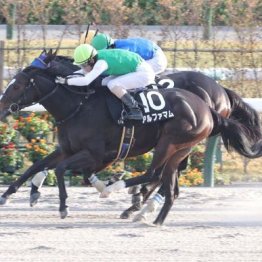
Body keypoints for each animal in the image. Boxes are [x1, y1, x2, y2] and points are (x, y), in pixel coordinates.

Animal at [0, 51, 260, 225]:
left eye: (17, 86)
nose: (2, 106)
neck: (79, 105)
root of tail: (214, 101)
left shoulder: (94, 154)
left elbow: (62, 169)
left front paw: (65, 205)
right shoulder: (69, 149)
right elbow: (38, 166)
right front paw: (12, 194)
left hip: (169, 142)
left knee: (154, 174)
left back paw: (131, 198)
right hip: (180, 147)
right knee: (168, 180)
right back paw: (146, 212)